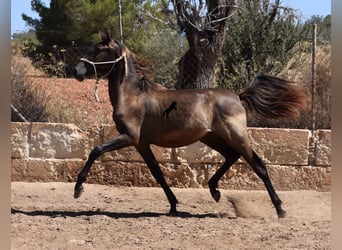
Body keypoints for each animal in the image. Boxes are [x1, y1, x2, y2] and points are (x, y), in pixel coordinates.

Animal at [73, 31, 306, 219]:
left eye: (97, 50)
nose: (75, 70)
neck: (132, 96)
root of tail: (238, 97)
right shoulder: (141, 144)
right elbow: (157, 173)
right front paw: (174, 206)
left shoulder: (130, 137)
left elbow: (96, 150)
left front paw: (78, 189)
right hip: (212, 137)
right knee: (231, 156)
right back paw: (214, 190)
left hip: (236, 136)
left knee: (259, 165)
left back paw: (280, 209)